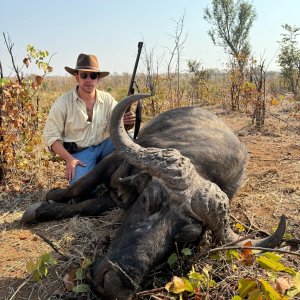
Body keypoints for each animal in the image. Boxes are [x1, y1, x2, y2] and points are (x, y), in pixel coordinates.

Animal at [21, 93, 286, 298]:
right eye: (148, 200)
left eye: (185, 238)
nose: (115, 284)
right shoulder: (115, 159)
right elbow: (80, 186)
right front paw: (44, 203)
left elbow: (91, 205)